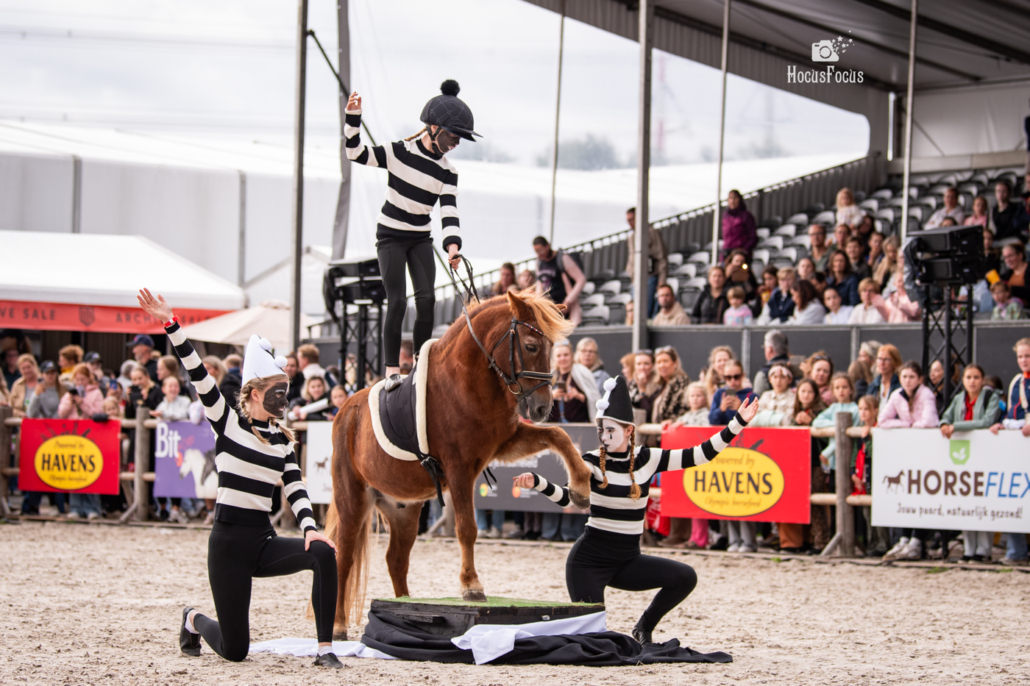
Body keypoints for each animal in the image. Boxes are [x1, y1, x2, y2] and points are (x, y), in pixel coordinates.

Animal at [324, 290, 593, 639]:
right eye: (532, 346)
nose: (542, 407)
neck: (468, 380)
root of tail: (345, 410)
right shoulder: (459, 468)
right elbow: (467, 528)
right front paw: (471, 586)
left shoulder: (506, 443)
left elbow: (559, 435)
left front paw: (581, 487)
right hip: (353, 500)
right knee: (344, 557)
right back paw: (338, 626)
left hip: (404, 510)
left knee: (396, 560)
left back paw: (405, 608)